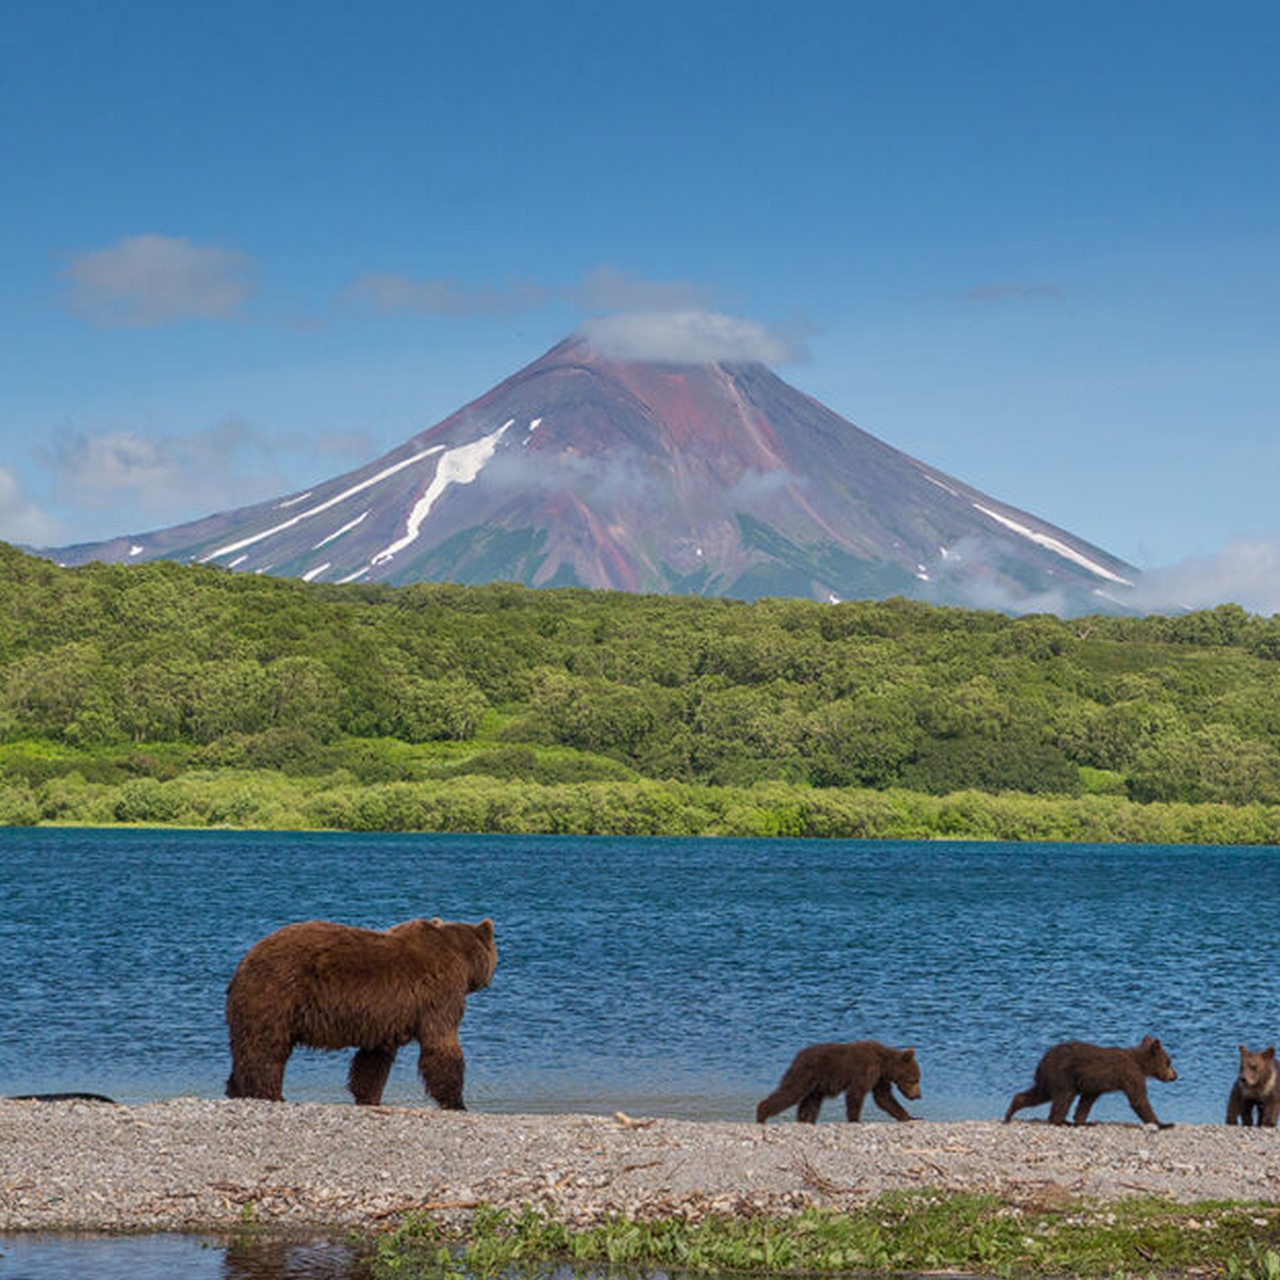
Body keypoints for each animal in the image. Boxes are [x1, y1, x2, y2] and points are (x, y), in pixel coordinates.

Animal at [225, 916, 494, 1105]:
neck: (461, 957)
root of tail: (244, 962)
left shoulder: (386, 1018)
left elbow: (373, 1060)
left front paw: (368, 1097)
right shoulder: (440, 995)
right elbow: (441, 1046)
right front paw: (457, 1102)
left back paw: (235, 1090)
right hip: (277, 996)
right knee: (266, 1050)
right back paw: (270, 1094)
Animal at [747, 1039, 921, 1121]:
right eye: (915, 1080)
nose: (918, 1096)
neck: (884, 1064)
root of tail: (798, 1056)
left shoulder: (879, 1078)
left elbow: (884, 1098)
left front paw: (910, 1117)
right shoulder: (867, 1070)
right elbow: (856, 1093)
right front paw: (855, 1119)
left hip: (816, 1085)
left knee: (810, 1104)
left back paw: (805, 1120)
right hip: (806, 1073)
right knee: (790, 1092)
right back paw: (761, 1113)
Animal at [998, 1034, 1177, 1126]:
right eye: (1168, 1061)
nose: (1175, 1075)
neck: (1140, 1064)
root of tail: (1042, 1061)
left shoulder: (1094, 1084)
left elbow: (1086, 1101)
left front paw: (1082, 1121)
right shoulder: (1130, 1074)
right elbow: (1139, 1100)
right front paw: (1163, 1123)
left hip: (1050, 1079)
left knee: (1038, 1094)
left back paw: (1009, 1113)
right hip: (1063, 1075)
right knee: (1064, 1097)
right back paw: (1059, 1121)